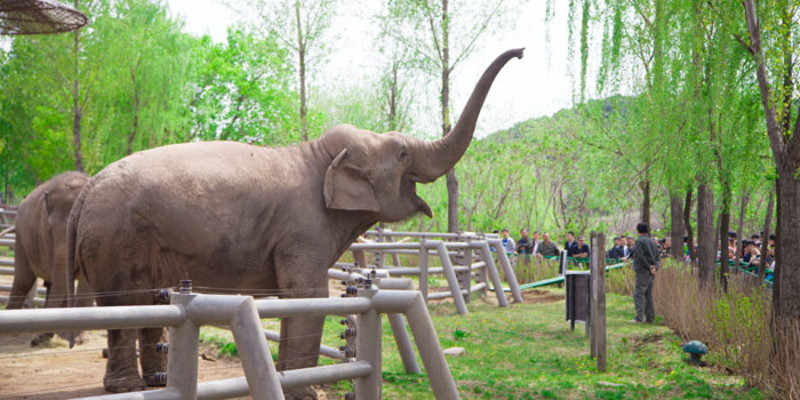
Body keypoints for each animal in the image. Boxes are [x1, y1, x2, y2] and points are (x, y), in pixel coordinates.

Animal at [6, 171, 93, 344]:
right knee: (24, 280)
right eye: (50, 230)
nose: (35, 340)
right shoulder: (45, 239)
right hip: (21, 239)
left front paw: (78, 339)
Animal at [67, 47, 524, 396]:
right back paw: (127, 389)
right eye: (402, 155)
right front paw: (304, 392)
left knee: (147, 304)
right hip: (117, 239)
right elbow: (309, 293)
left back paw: (155, 384)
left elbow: (297, 299)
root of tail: (86, 191)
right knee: (126, 306)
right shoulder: (304, 229)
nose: (521, 52)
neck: (319, 155)